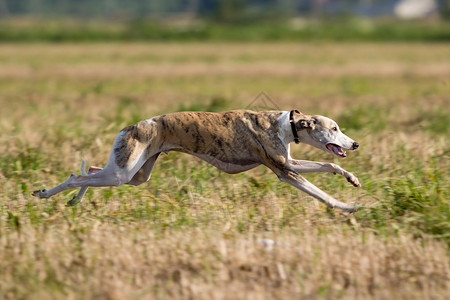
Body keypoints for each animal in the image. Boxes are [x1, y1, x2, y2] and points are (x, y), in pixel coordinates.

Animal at [31, 109, 360, 211]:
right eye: (334, 128)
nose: (355, 144)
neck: (286, 124)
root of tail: (131, 127)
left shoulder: (289, 164)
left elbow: (330, 164)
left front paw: (352, 178)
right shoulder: (285, 170)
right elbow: (321, 194)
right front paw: (347, 206)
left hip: (136, 173)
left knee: (92, 170)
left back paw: (74, 200)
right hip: (123, 173)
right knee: (77, 175)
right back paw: (46, 193)